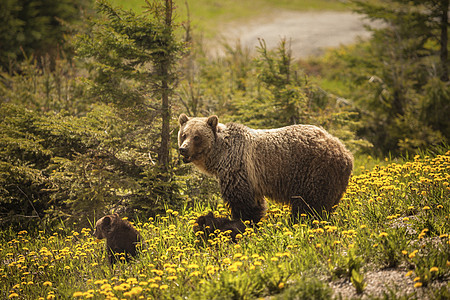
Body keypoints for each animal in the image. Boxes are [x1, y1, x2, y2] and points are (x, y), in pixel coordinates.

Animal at [178, 113, 354, 224]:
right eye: (184, 134)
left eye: (197, 136)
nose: (183, 149)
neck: (220, 155)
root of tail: (345, 152)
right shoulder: (251, 179)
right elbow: (255, 203)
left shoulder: (238, 169)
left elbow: (242, 202)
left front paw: (244, 222)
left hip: (315, 171)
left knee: (310, 205)